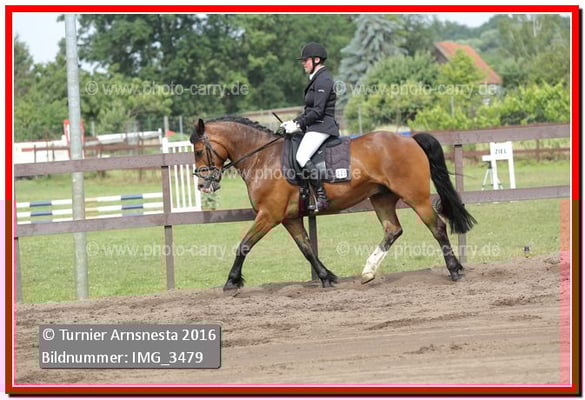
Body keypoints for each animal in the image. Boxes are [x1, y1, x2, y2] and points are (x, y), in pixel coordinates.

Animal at [190, 116, 476, 294]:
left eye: (198, 150)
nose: (203, 185)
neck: (263, 158)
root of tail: (410, 139)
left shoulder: (269, 215)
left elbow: (245, 245)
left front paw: (231, 282)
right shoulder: (289, 218)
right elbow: (306, 248)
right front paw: (327, 277)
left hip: (416, 197)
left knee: (437, 227)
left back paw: (455, 270)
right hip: (381, 197)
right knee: (392, 230)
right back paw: (368, 272)